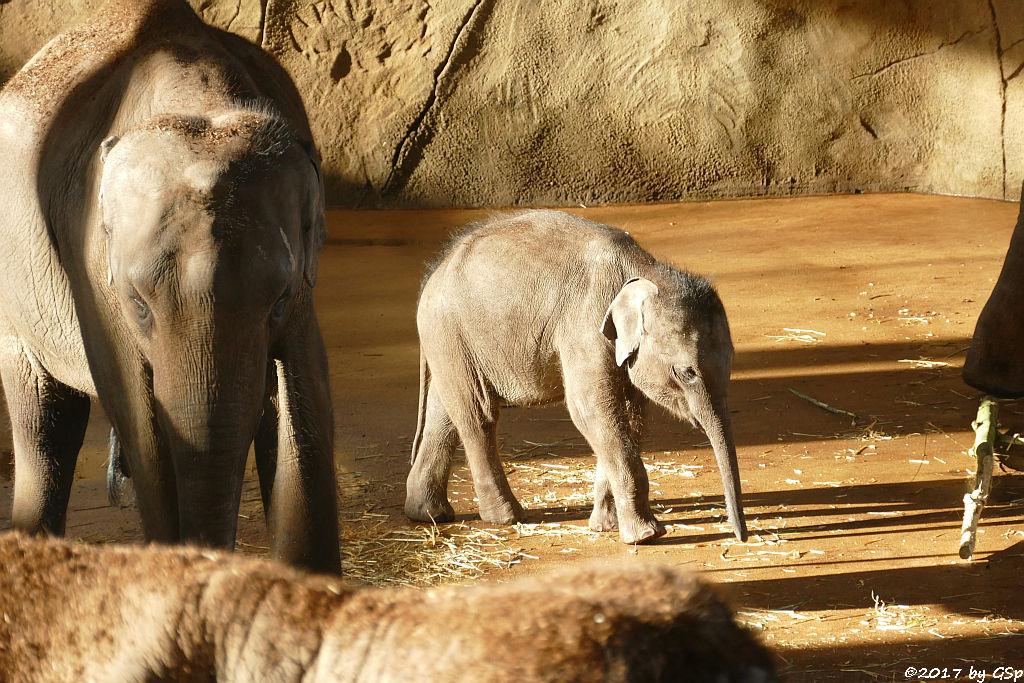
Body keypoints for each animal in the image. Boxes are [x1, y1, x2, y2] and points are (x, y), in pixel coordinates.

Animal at [0, 0, 344, 573]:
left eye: (278, 301)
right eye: (138, 305)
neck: (201, 105)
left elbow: (305, 400)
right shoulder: (91, 271)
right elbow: (142, 420)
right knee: (44, 424)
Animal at [403, 210, 749, 540]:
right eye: (686, 372)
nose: (741, 536)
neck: (645, 270)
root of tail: (433, 270)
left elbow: (629, 416)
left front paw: (607, 527)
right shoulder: (585, 327)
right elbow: (590, 410)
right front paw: (646, 536)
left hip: (452, 342)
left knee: (446, 413)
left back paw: (428, 513)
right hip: (451, 331)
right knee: (479, 414)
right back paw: (507, 517)